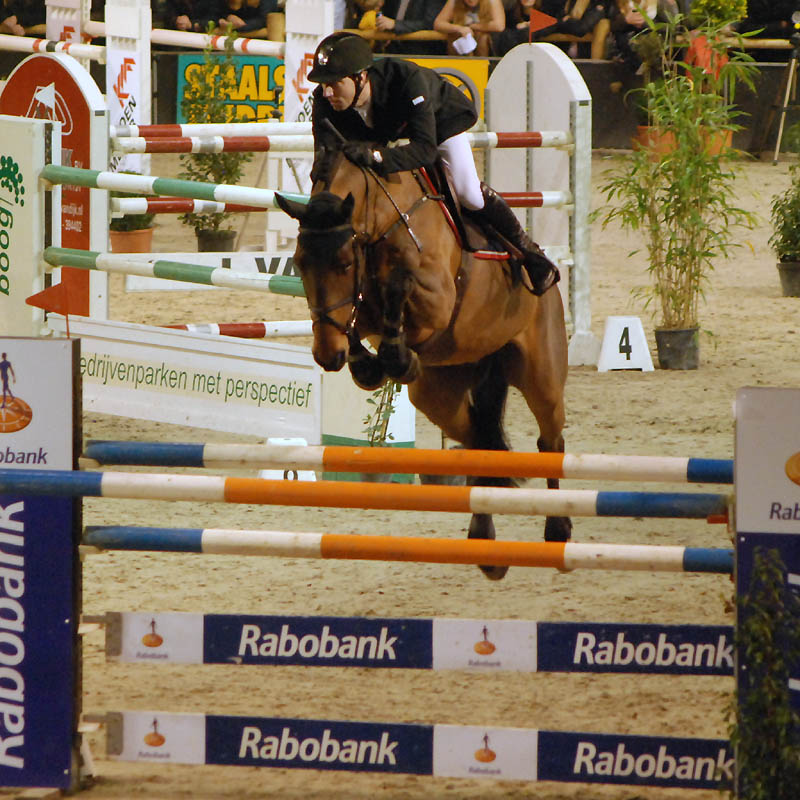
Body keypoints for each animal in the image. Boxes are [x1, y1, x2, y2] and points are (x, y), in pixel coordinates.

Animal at [278, 147, 572, 580]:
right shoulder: (364, 314)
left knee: (549, 441)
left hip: (541, 376)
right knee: (479, 439)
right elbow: (362, 321)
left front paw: (395, 355)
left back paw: (558, 531)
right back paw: (485, 545)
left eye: (345, 263)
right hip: (439, 393)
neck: (384, 223)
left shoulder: (437, 299)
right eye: (299, 263)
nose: (326, 356)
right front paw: (370, 364)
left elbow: (399, 287)